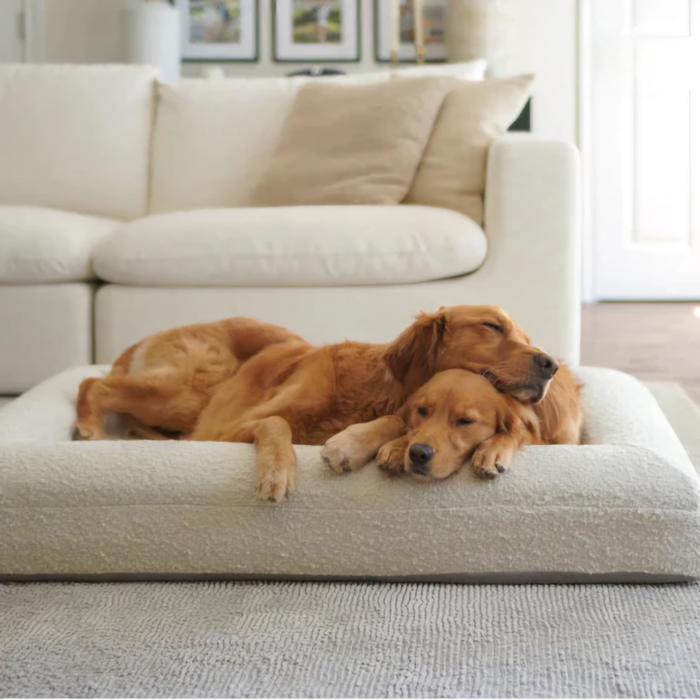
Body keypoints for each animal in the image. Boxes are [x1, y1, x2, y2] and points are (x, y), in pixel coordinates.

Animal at [322, 366, 540, 482]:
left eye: (465, 421)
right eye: (422, 410)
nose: (418, 454)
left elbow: (514, 431)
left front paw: (491, 451)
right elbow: (396, 419)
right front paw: (352, 443)